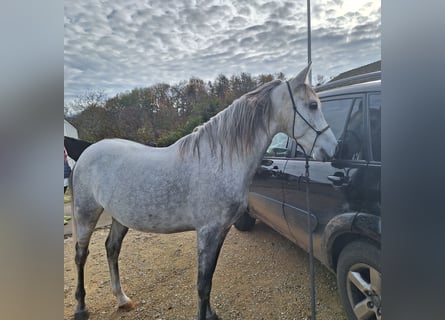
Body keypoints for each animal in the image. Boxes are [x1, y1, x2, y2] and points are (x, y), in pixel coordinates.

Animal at [70, 63, 336, 318]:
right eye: (313, 105)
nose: (332, 149)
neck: (220, 160)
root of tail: (87, 151)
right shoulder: (207, 232)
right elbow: (202, 284)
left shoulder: (221, 231)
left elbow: (209, 279)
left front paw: (211, 313)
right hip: (86, 213)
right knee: (81, 255)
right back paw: (81, 308)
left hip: (119, 217)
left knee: (112, 249)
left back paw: (122, 299)